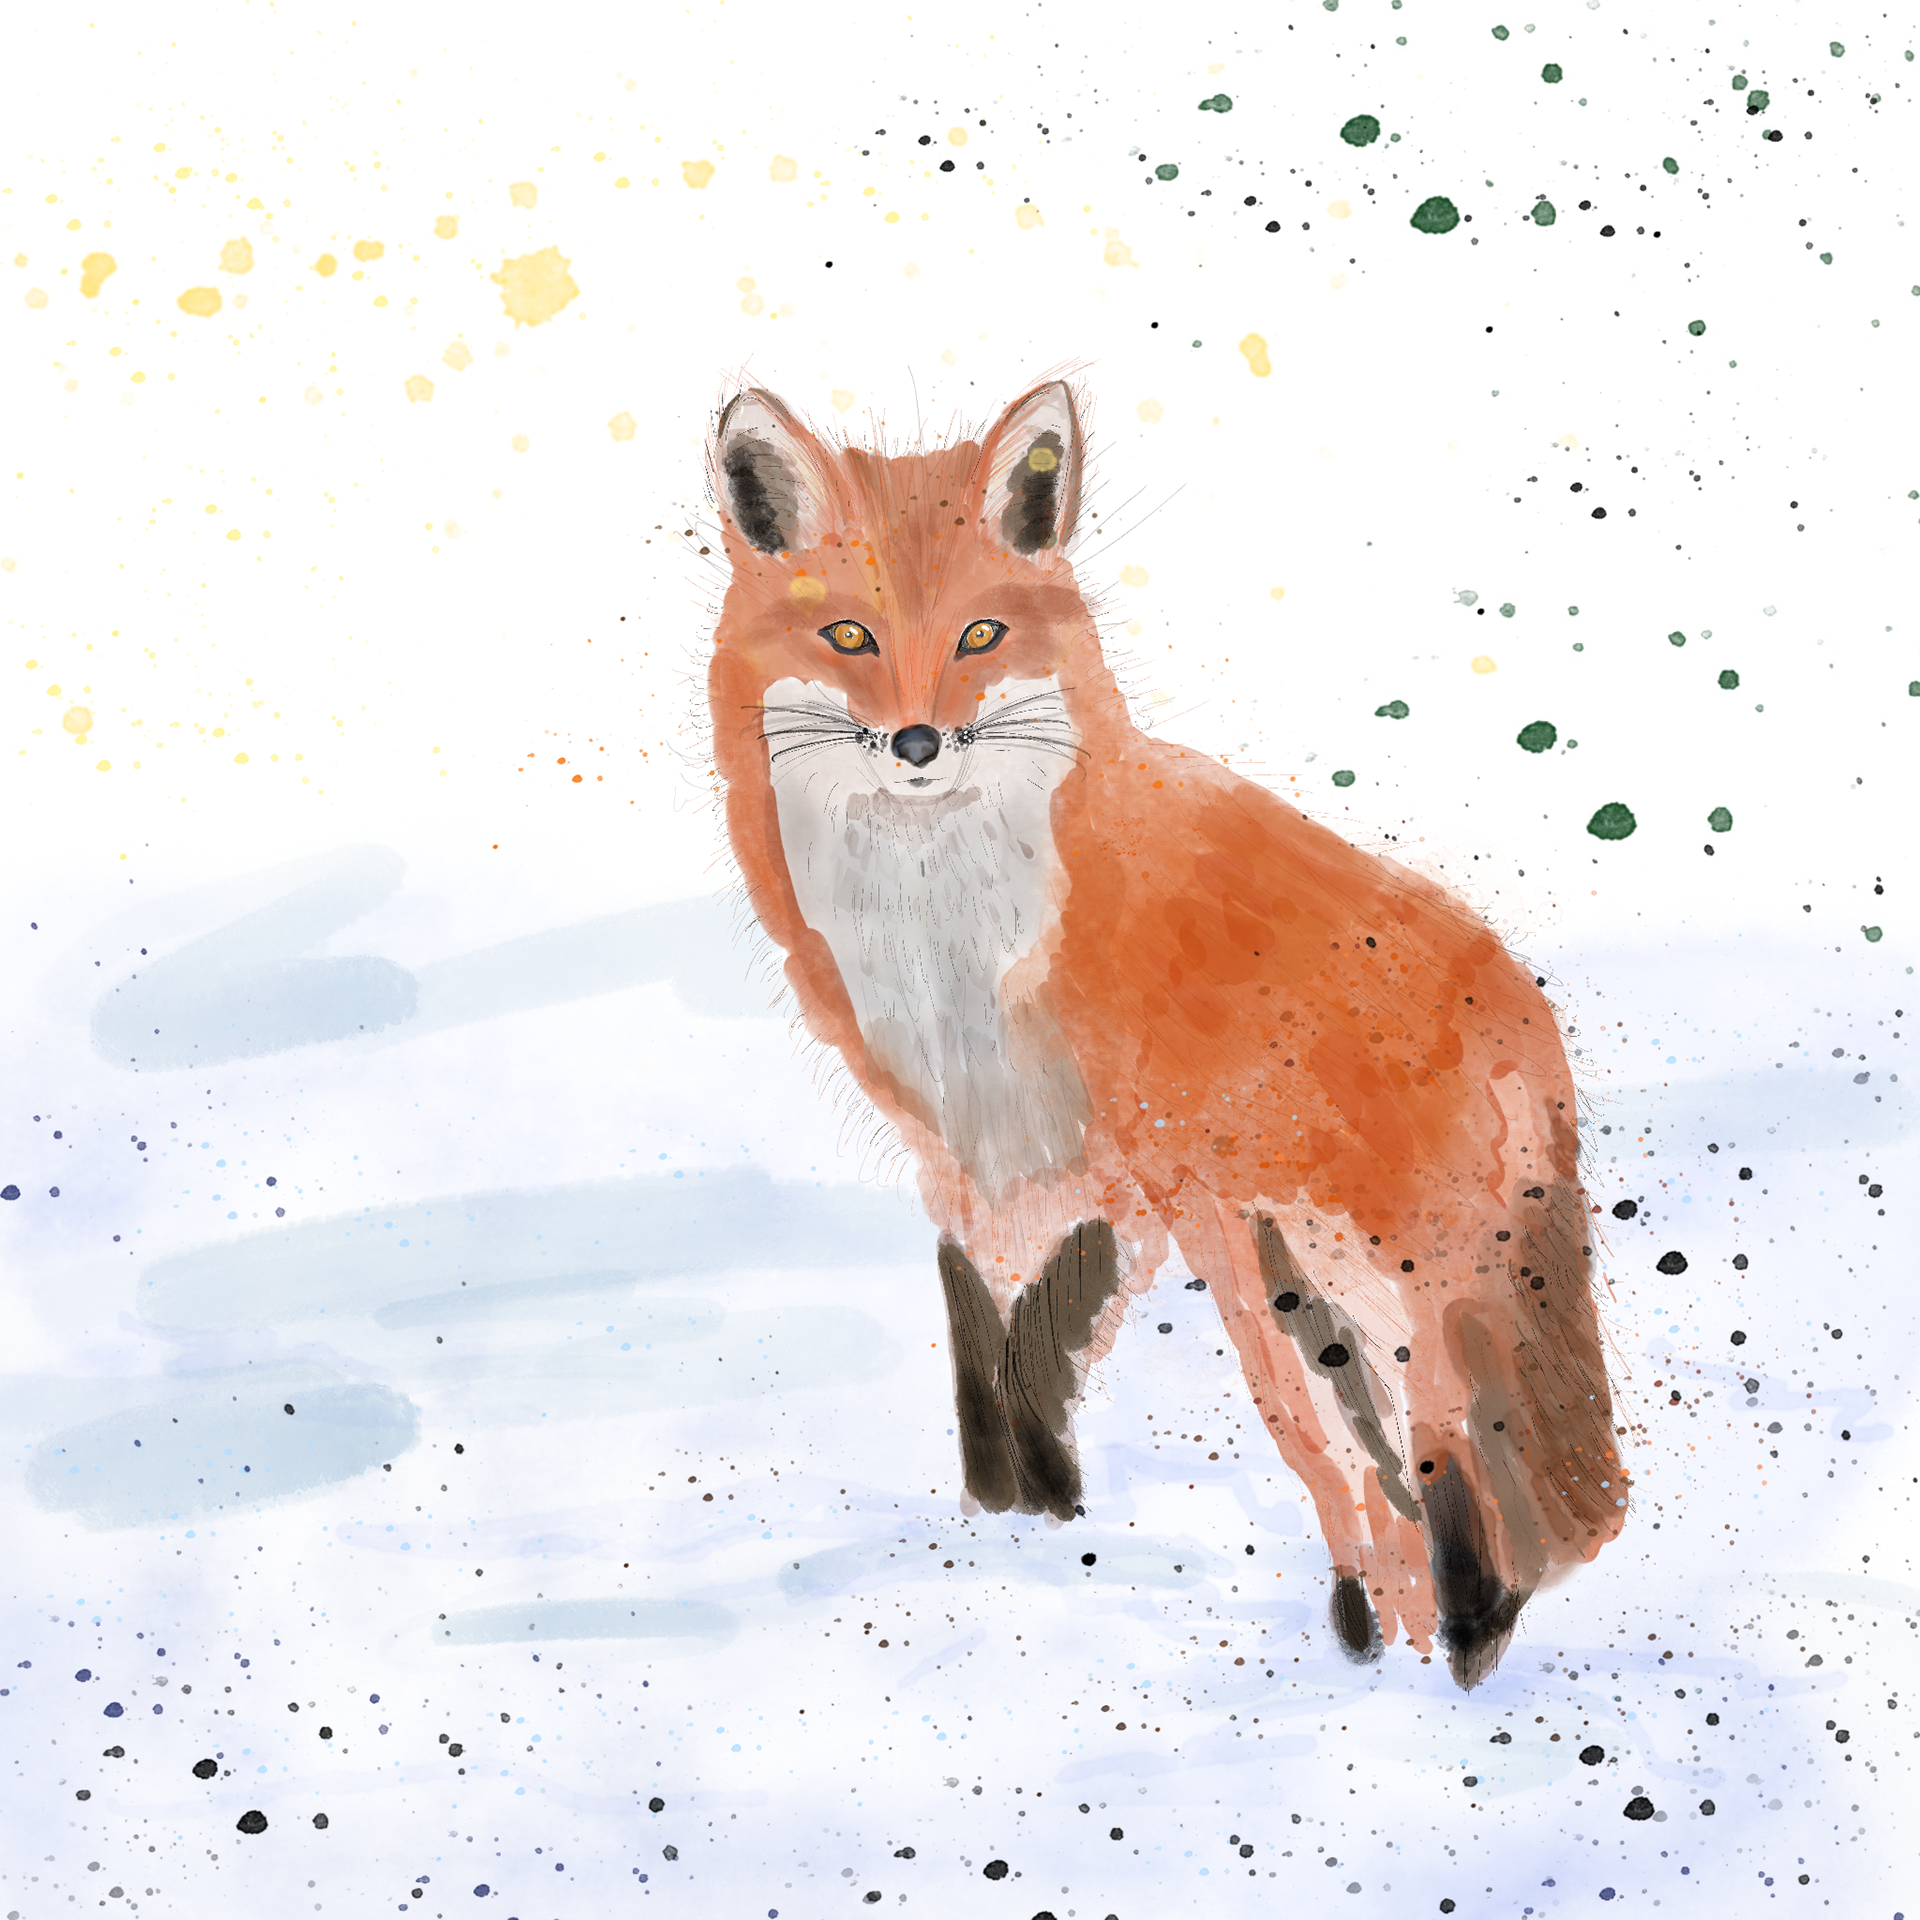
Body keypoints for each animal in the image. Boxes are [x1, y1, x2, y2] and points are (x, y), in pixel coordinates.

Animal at [704, 376, 1627, 1687]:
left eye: (979, 638)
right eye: (849, 639)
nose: (920, 743)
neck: (954, 946)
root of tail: (1526, 1002)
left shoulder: (1143, 1171)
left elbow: (1073, 1351)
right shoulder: (979, 1160)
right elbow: (995, 1350)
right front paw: (1020, 1519)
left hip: (1361, 1276)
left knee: (1428, 1458)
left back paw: (1435, 1643)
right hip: (1316, 1280)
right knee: (1405, 1466)